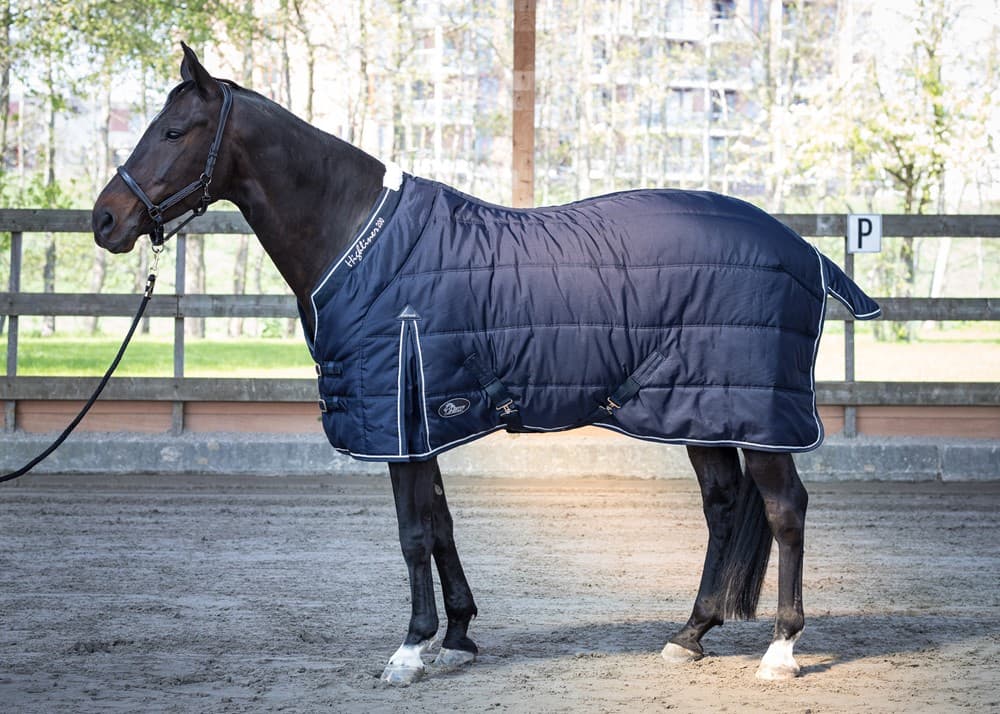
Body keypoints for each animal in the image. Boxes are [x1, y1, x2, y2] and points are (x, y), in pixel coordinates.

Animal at [93, 44, 880, 685]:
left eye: (173, 131)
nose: (105, 220)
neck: (362, 242)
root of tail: (804, 250)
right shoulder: (423, 421)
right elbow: (440, 524)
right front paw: (458, 637)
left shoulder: (399, 417)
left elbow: (413, 532)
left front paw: (410, 649)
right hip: (701, 412)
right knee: (721, 508)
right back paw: (689, 635)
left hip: (756, 416)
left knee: (785, 509)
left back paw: (780, 651)